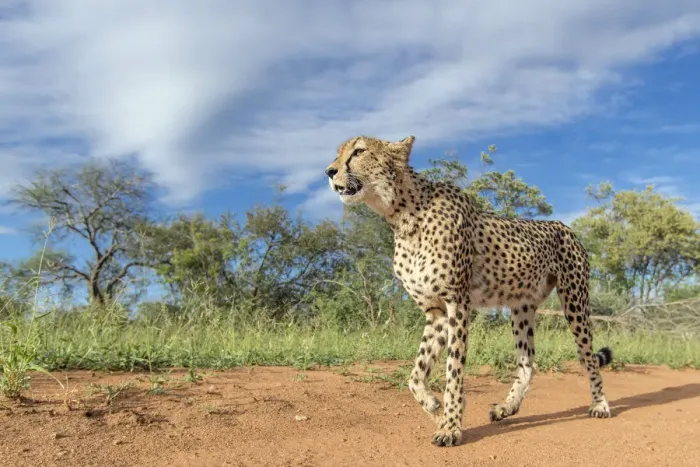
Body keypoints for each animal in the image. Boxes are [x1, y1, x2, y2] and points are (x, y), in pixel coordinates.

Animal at [324, 134, 613, 447]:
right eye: (339, 153)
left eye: (359, 151)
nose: (329, 171)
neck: (403, 217)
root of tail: (564, 226)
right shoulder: (436, 311)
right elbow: (415, 373)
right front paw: (435, 408)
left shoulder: (457, 303)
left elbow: (453, 371)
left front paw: (450, 426)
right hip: (521, 307)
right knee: (527, 363)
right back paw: (506, 407)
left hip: (574, 301)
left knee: (588, 356)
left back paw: (600, 404)